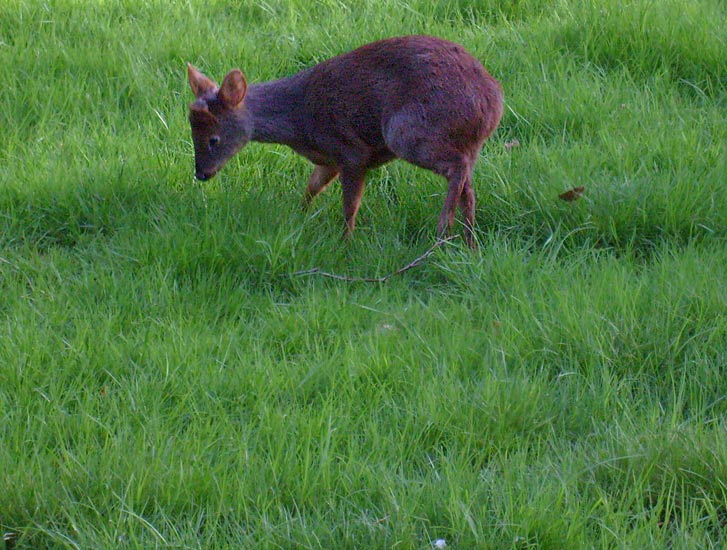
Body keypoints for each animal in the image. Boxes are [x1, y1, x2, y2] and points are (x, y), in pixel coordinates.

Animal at [188, 35, 504, 249]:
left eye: (213, 139)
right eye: (192, 133)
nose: (201, 173)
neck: (299, 121)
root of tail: (492, 101)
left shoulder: (350, 151)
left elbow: (350, 204)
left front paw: (345, 241)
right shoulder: (329, 160)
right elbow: (312, 188)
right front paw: (299, 219)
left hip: (407, 131)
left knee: (456, 169)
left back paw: (442, 232)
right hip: (466, 142)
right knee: (468, 188)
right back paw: (470, 243)